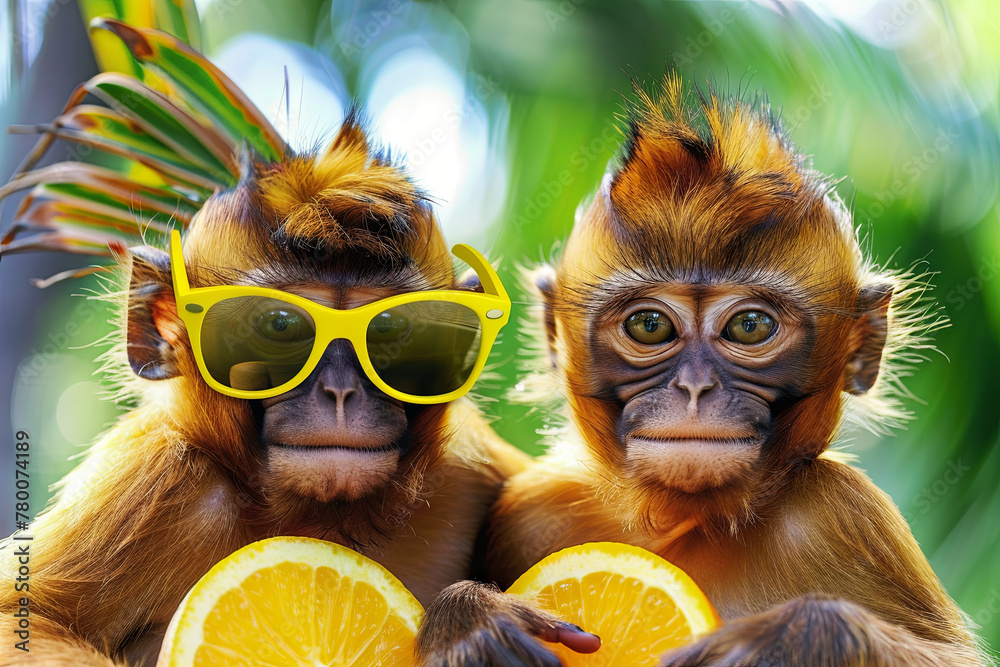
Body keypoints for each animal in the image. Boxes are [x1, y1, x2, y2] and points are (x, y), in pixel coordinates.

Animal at [0, 115, 533, 666]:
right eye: (279, 325)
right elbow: (19, 620)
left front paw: (465, 618)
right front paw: (467, 627)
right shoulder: (153, 477)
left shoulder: (465, 464)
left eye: (390, 329)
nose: (340, 392)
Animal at [416, 76, 988, 666]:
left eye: (750, 326)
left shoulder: (844, 512)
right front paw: (470, 620)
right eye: (649, 326)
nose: (694, 388)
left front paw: (788, 637)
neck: (686, 523)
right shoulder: (537, 509)